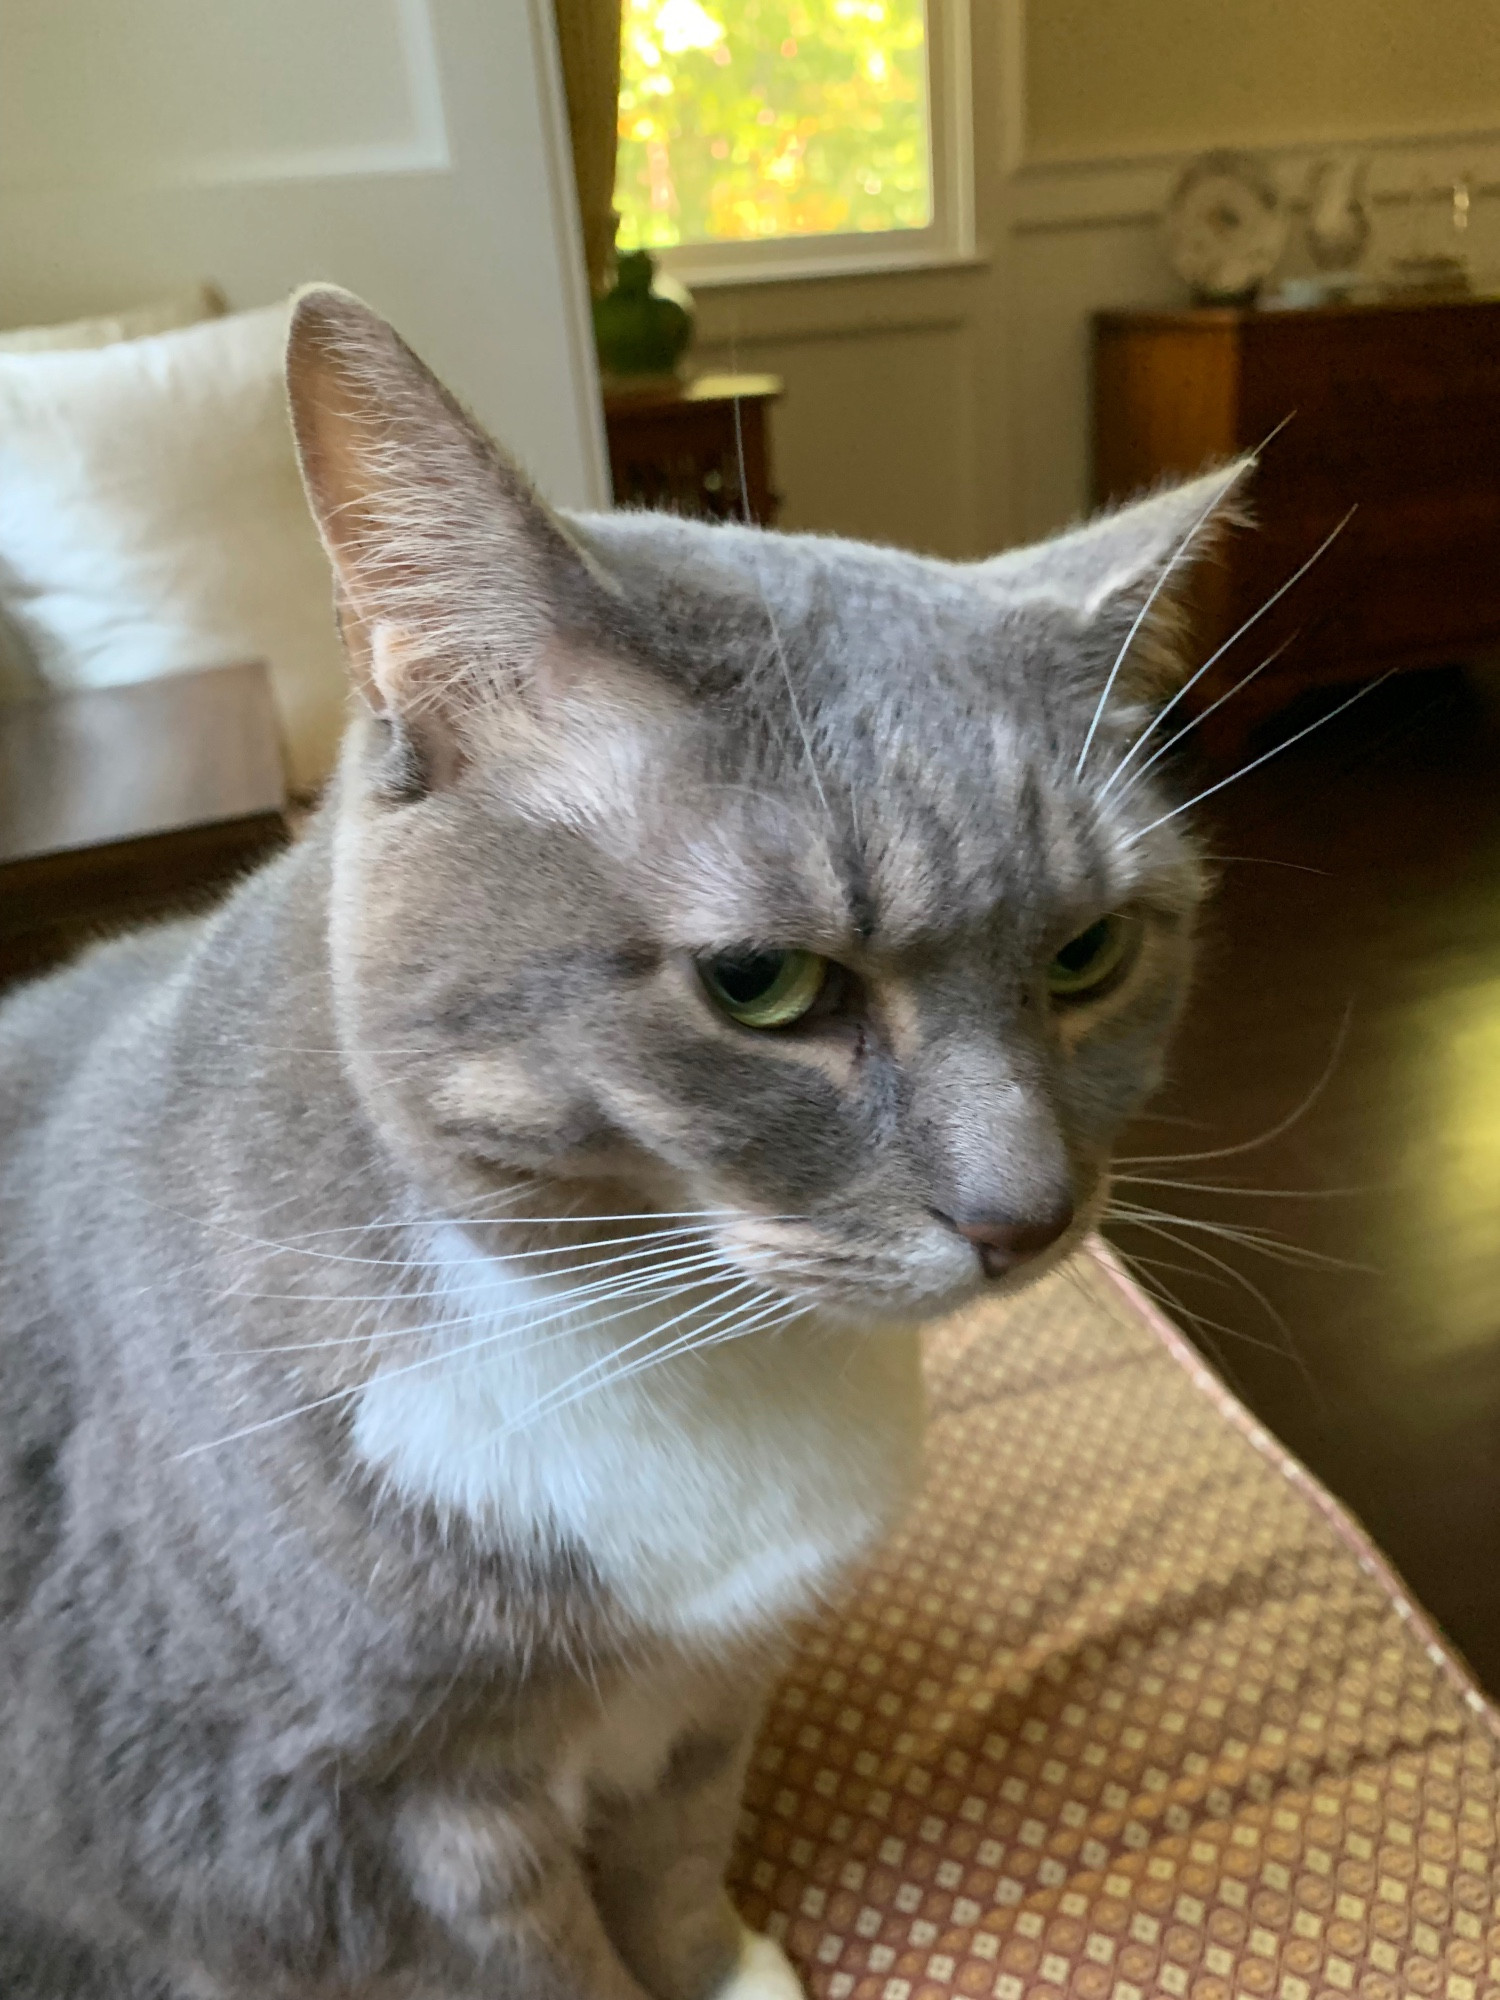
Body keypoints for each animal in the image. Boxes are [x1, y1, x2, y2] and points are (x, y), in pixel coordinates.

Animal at [0, 286, 1248, 2000]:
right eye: (761, 982)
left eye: (1089, 953)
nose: (1028, 1215)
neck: (674, 1346)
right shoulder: (366, 1827)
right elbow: (547, 1964)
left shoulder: (712, 1694)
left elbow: (673, 1859)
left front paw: (726, 1967)